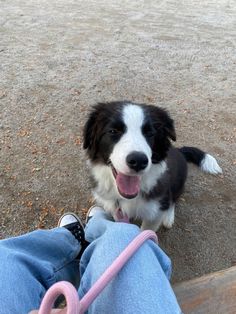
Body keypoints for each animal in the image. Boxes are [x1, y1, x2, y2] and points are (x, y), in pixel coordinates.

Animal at [82, 100, 221, 231]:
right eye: (113, 131)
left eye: (150, 133)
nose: (138, 161)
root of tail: (180, 151)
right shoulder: (115, 207)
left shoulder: (156, 211)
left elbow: (146, 231)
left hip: (178, 182)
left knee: (173, 200)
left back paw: (168, 217)